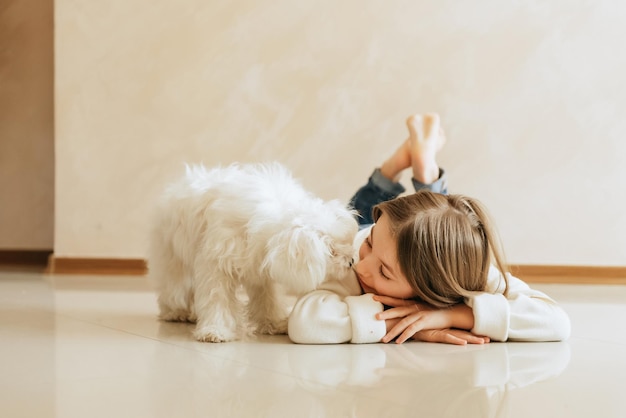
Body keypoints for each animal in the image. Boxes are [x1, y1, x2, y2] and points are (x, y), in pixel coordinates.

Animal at [147, 162, 358, 342]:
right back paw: (176, 312)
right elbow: (217, 300)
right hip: (174, 261)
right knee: (174, 289)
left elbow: (268, 300)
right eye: (330, 251)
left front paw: (275, 323)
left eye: (345, 242)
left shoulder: (262, 271)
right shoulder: (216, 266)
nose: (350, 261)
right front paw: (215, 331)